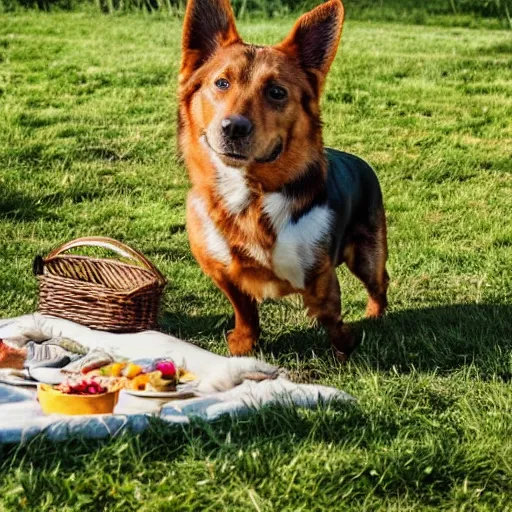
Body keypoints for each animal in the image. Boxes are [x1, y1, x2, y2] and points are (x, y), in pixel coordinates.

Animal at [178, 0, 390, 360]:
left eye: (277, 92)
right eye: (221, 83)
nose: (233, 128)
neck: (250, 195)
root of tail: (360, 161)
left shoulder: (320, 274)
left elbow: (330, 314)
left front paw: (345, 346)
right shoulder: (223, 272)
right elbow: (244, 309)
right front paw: (244, 343)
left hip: (367, 257)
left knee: (380, 283)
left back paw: (375, 316)